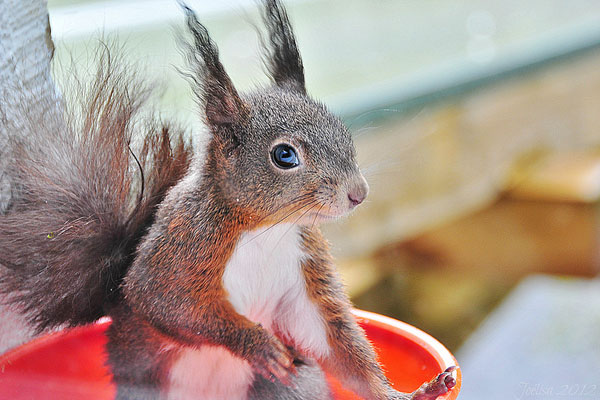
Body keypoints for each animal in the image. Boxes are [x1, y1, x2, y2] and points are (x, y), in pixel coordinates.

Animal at [0, 1, 458, 398]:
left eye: (341, 130)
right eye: (284, 155)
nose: (358, 194)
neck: (265, 229)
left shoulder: (303, 268)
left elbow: (331, 340)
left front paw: (407, 393)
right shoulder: (183, 248)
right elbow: (167, 302)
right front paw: (257, 343)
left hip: (292, 385)